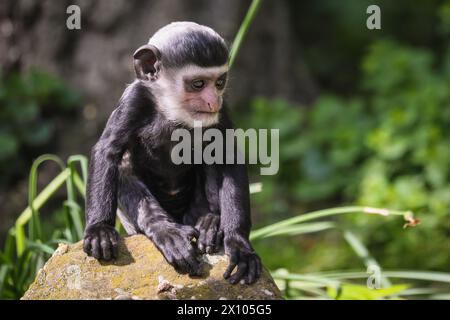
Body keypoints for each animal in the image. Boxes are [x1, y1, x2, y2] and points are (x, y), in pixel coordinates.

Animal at [82, 21, 262, 284]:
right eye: (198, 84)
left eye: (219, 82)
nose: (212, 102)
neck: (172, 111)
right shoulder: (135, 100)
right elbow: (107, 151)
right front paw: (99, 229)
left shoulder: (222, 110)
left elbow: (228, 157)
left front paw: (240, 246)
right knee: (124, 168)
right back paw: (167, 232)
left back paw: (211, 222)